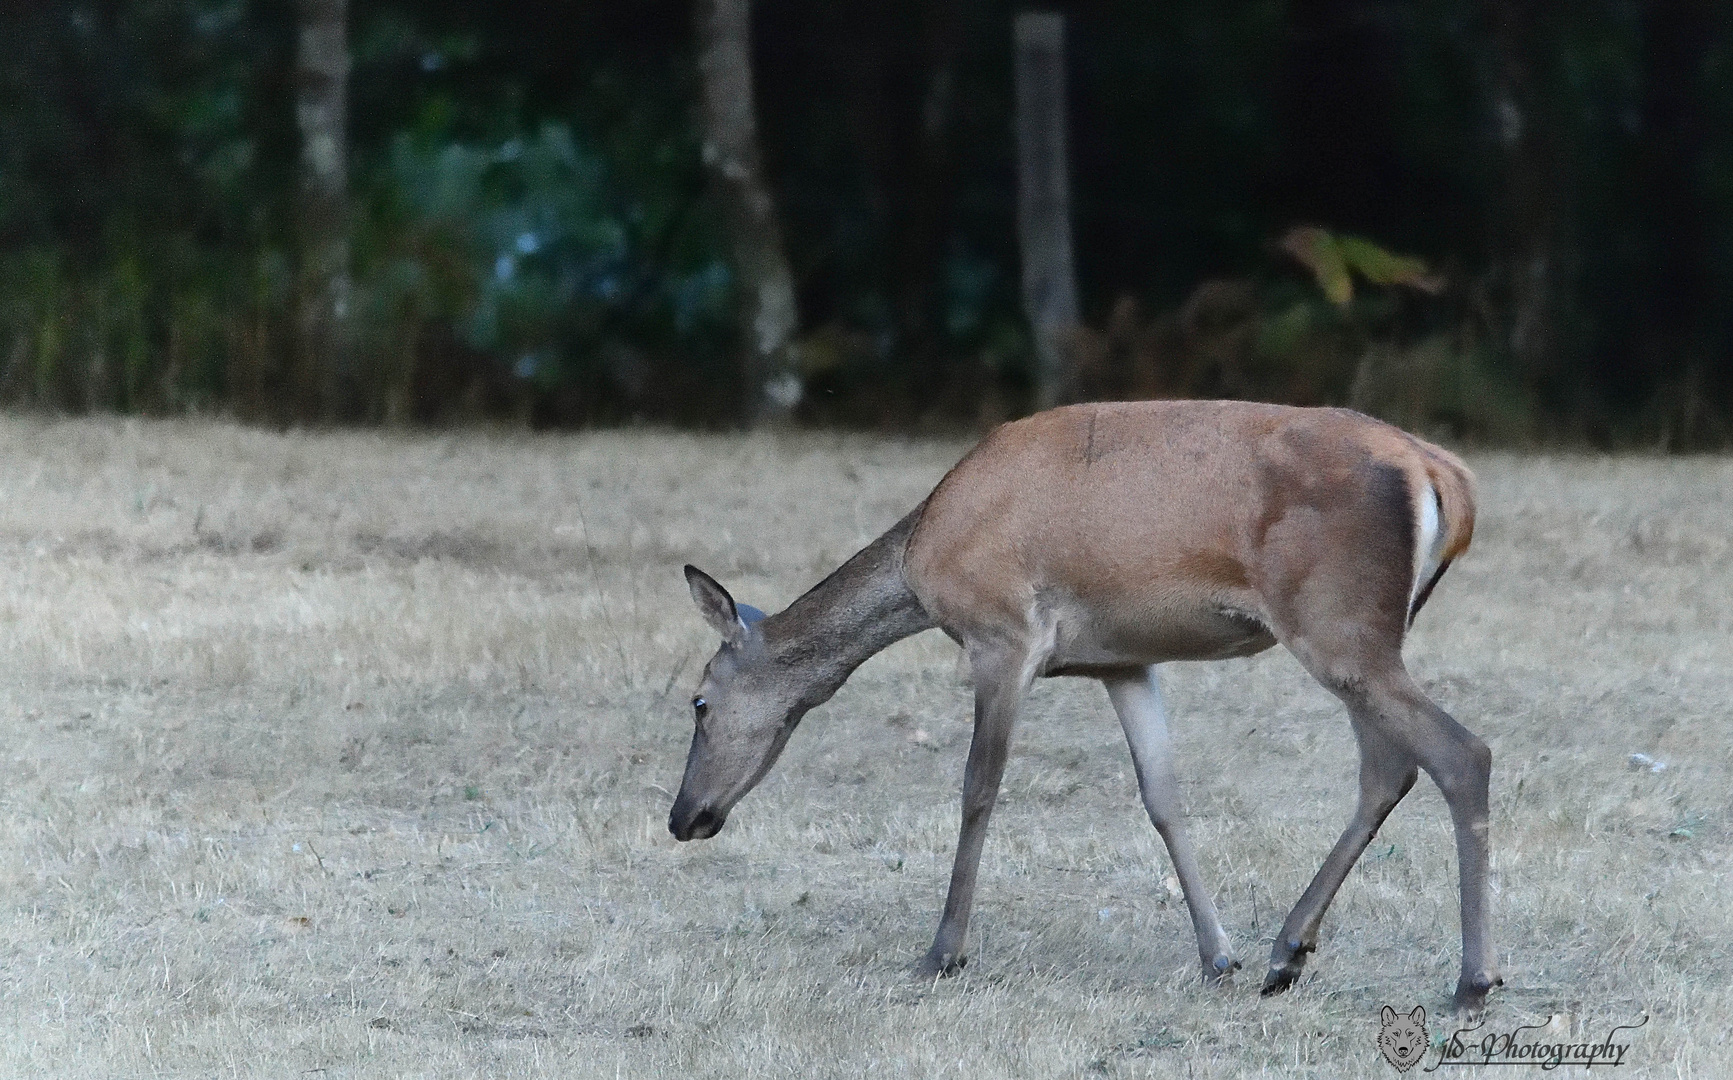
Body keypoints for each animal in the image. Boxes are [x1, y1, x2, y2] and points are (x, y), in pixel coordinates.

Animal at [668, 402, 1497, 1019]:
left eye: (699, 702)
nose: (682, 817)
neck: (920, 561)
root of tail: (1443, 475)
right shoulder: (1121, 661)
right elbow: (1162, 796)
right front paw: (1215, 954)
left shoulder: (1003, 633)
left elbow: (977, 789)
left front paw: (942, 952)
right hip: (1364, 633)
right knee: (1386, 769)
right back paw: (1285, 953)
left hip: (1334, 621)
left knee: (1461, 753)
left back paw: (1469, 981)